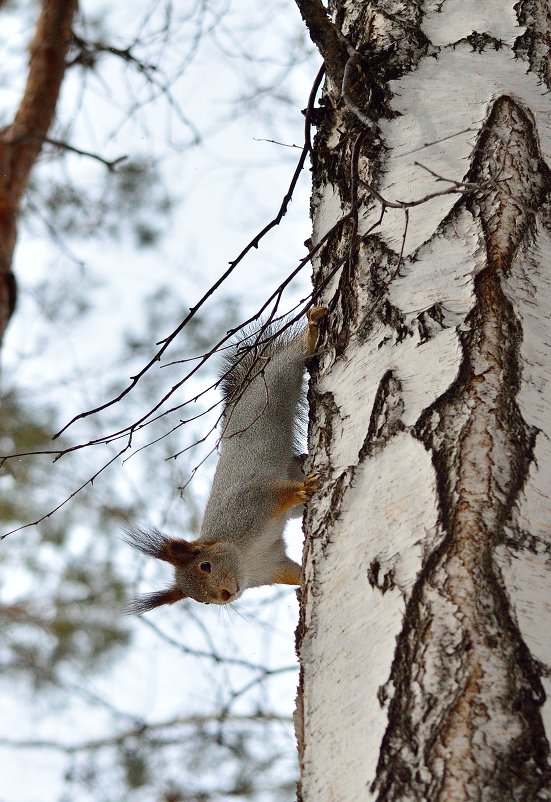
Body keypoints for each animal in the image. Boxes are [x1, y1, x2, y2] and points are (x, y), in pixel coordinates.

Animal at [125, 304, 328, 608]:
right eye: (203, 602)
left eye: (205, 566)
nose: (224, 595)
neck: (243, 552)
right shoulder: (271, 565)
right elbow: (294, 572)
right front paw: (303, 585)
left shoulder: (252, 502)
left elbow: (276, 493)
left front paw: (305, 487)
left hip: (276, 380)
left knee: (292, 356)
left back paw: (311, 331)